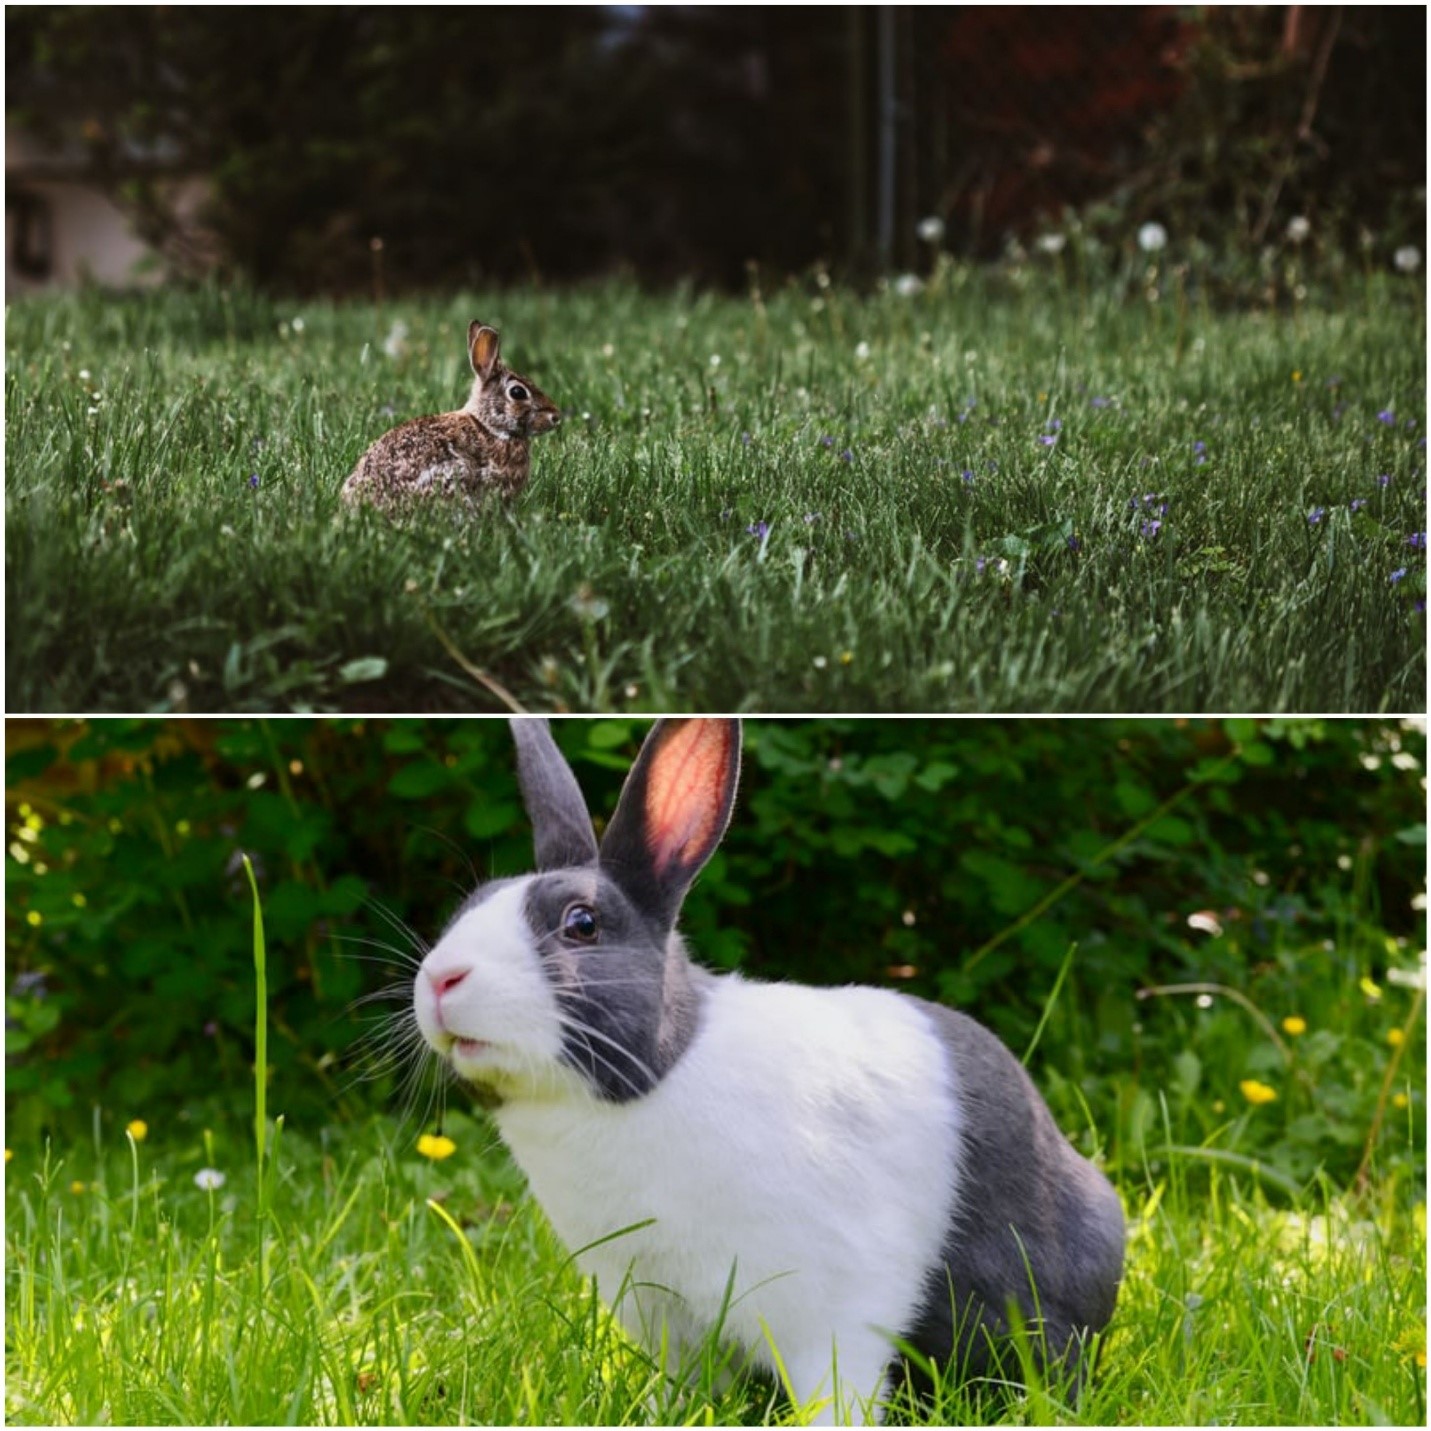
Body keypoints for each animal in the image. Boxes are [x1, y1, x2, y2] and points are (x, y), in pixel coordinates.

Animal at [411, 719, 1124, 1425]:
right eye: (471, 904)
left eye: (581, 924)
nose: (441, 979)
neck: (654, 1080)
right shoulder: (661, 1309)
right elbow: (682, 1385)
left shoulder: (830, 1308)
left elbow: (838, 1389)